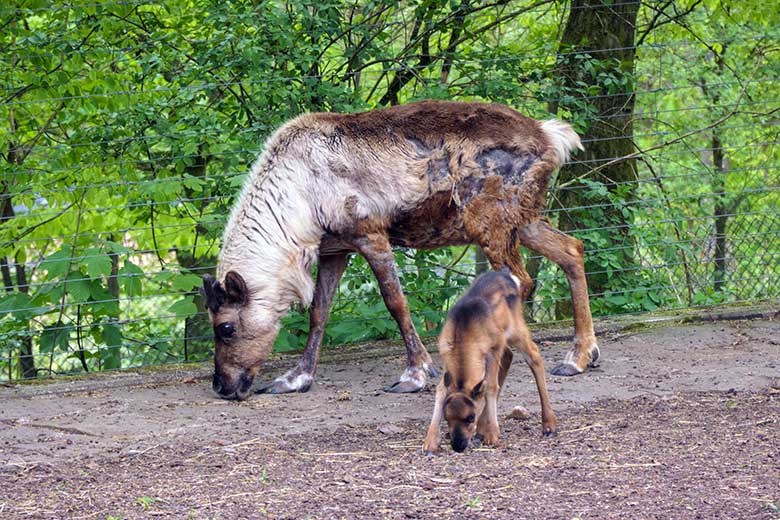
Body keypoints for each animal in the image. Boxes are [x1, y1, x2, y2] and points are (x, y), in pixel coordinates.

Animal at [424, 270, 556, 452]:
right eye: (447, 417)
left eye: (470, 417)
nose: (458, 445)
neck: (464, 335)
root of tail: (510, 276)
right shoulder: (446, 356)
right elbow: (441, 389)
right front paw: (430, 443)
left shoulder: (494, 347)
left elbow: (491, 386)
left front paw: (493, 435)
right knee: (509, 355)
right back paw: (481, 429)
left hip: (516, 329)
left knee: (534, 355)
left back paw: (549, 426)